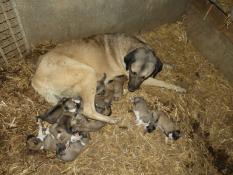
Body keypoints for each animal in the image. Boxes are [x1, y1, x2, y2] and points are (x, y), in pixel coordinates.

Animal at [31, 32, 185, 123]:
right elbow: (163, 83)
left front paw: (168, 66)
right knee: (88, 110)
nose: (131, 89)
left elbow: (162, 65)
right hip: (88, 72)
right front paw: (179, 88)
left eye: (143, 76)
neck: (132, 46)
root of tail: (36, 79)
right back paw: (111, 119)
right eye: (133, 72)